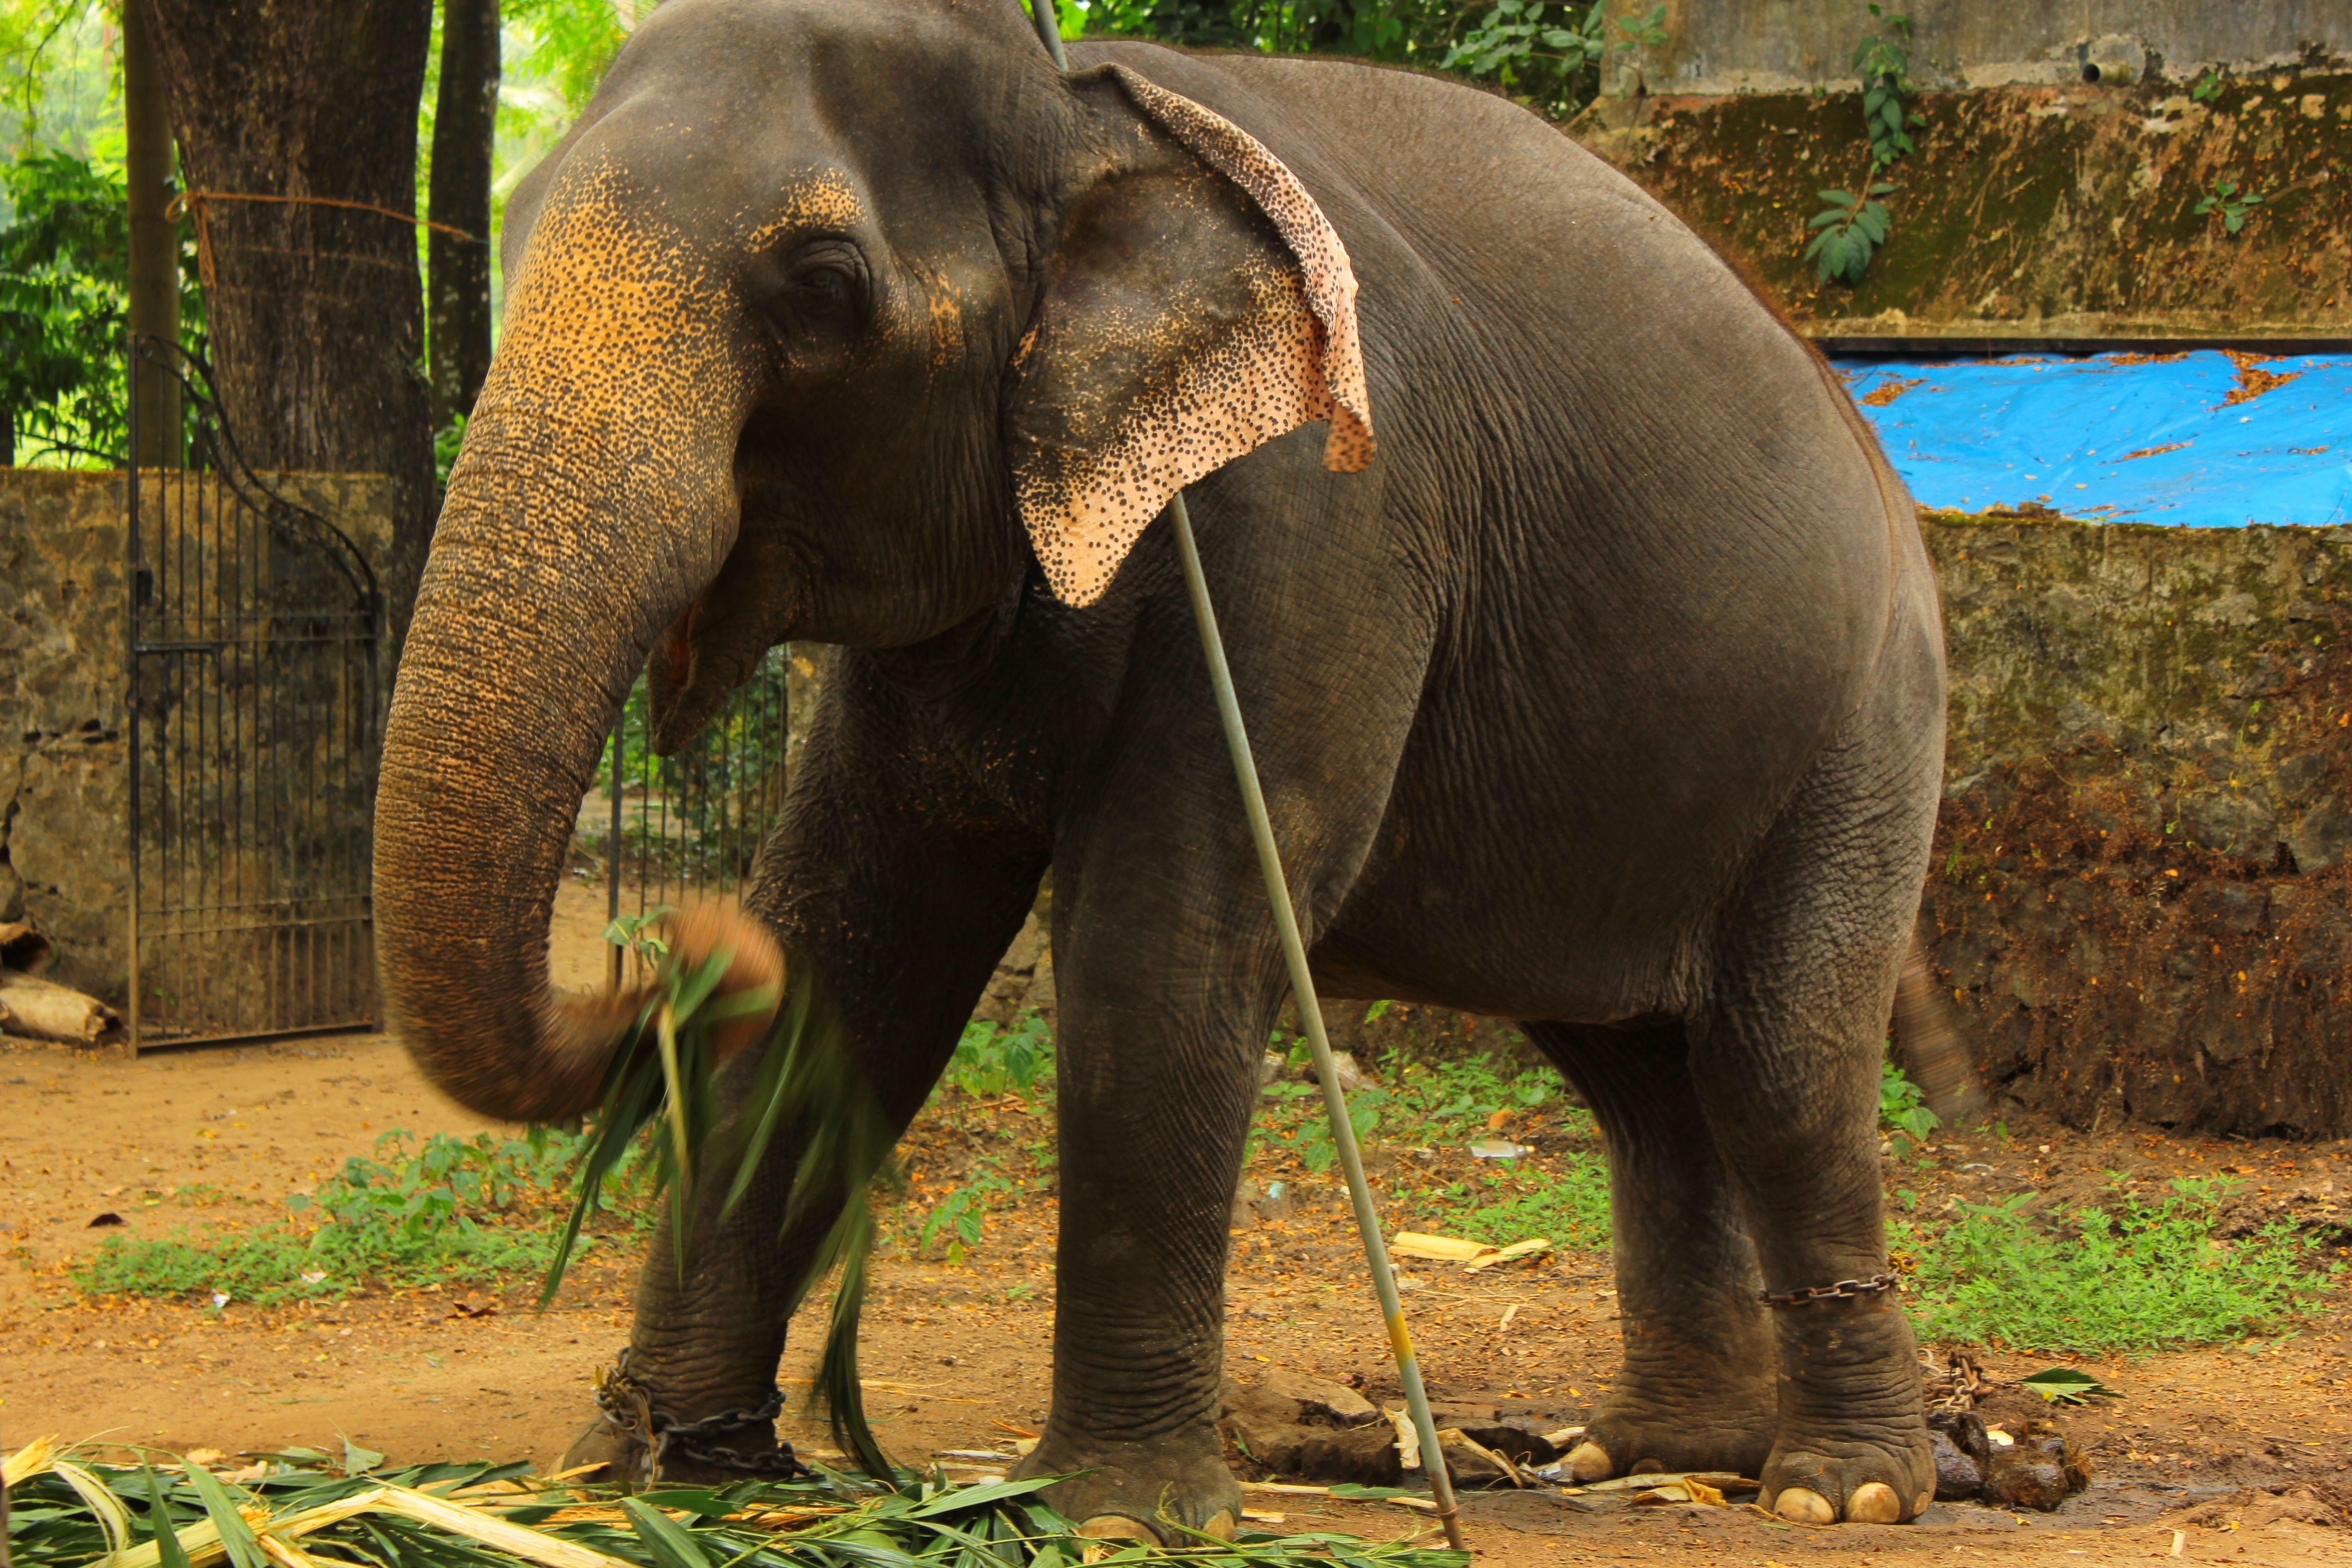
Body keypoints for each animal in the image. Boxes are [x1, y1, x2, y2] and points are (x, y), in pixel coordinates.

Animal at [374, 0, 1949, 1538]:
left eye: (823, 286)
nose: (679, 950)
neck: (1080, 108)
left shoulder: (1316, 512)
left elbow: (1166, 938)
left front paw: (1120, 1516)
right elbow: (855, 947)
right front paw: (642, 1470)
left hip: (1873, 727)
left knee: (1779, 1066)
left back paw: (1843, 1487)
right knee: (1640, 1075)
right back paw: (1663, 1451)